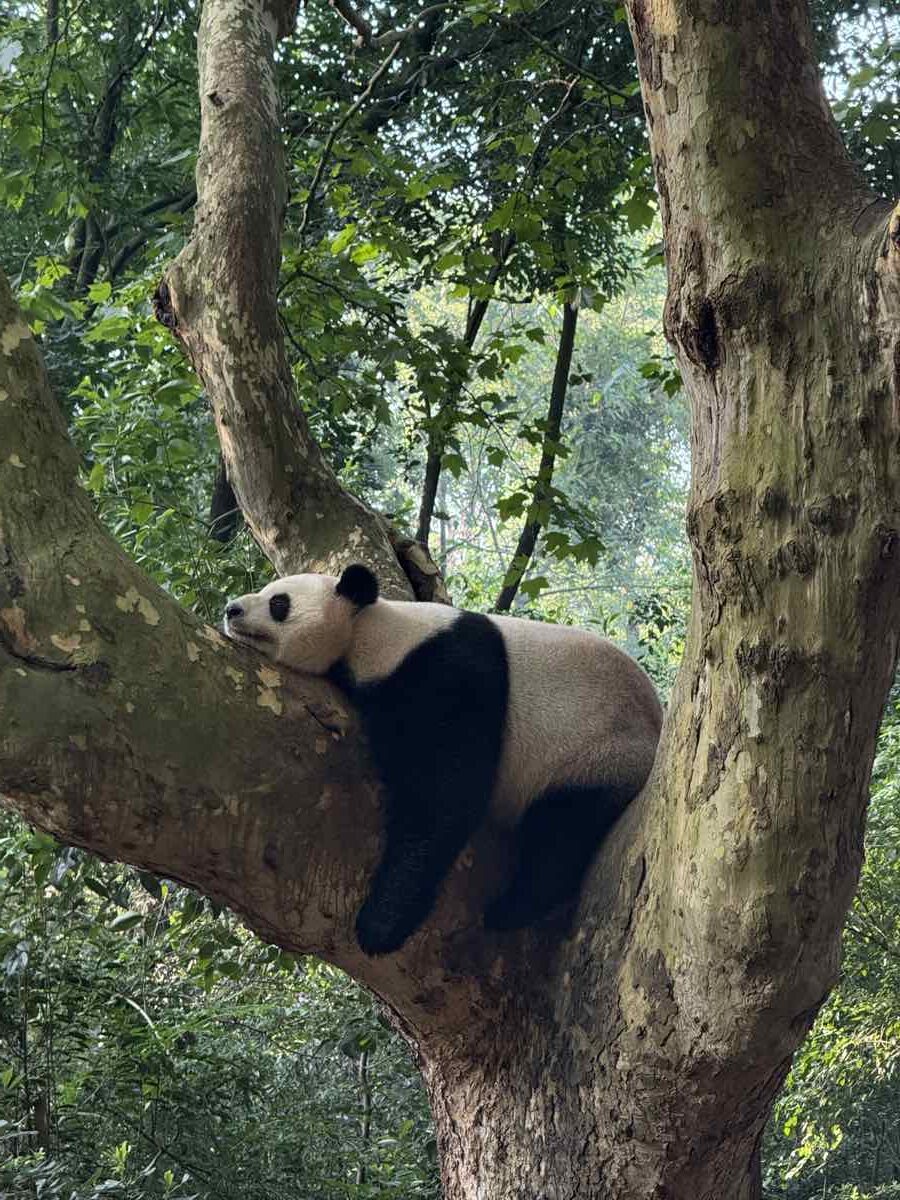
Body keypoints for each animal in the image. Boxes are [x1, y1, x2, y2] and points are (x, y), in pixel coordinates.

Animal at [224, 564, 662, 956]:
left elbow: (446, 793)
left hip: (599, 753)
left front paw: (380, 925)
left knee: (562, 828)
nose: (231, 609)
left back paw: (511, 909)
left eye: (279, 603)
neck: (371, 631)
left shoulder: (446, 673)